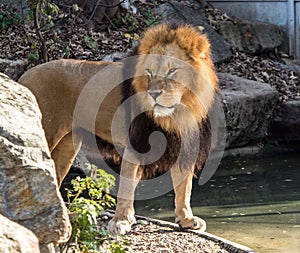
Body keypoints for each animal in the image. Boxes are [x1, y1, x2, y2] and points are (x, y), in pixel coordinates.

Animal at [18, 22, 218, 235]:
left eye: (172, 70)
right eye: (149, 72)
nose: (154, 94)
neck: (176, 113)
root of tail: (24, 76)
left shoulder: (182, 144)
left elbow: (183, 187)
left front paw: (186, 219)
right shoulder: (135, 143)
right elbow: (127, 185)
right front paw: (121, 221)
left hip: (67, 146)